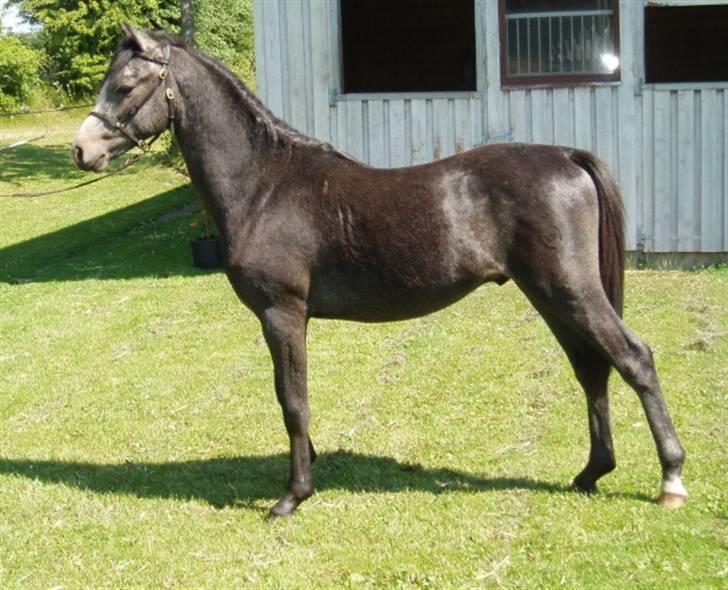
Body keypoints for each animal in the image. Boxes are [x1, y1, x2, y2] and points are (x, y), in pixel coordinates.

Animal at [72, 25, 687, 517]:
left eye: (124, 86)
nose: (82, 150)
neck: (264, 183)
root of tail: (566, 156)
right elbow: (294, 398)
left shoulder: (282, 313)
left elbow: (292, 400)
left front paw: (293, 496)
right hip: (551, 295)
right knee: (591, 368)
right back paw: (590, 473)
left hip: (570, 291)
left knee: (633, 358)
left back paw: (671, 479)